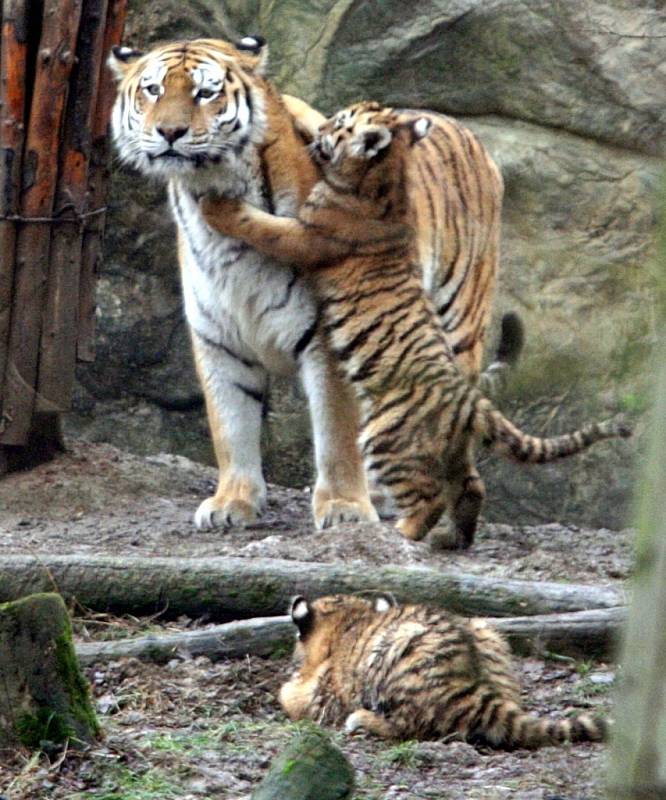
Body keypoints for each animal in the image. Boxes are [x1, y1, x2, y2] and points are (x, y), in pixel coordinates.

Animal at [109, 40, 504, 536]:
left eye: (205, 93)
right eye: (154, 90)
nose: (169, 132)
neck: (206, 184)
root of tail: (469, 134)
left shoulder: (328, 335)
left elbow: (336, 431)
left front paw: (343, 506)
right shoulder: (218, 339)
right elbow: (230, 424)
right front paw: (232, 501)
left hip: (453, 325)